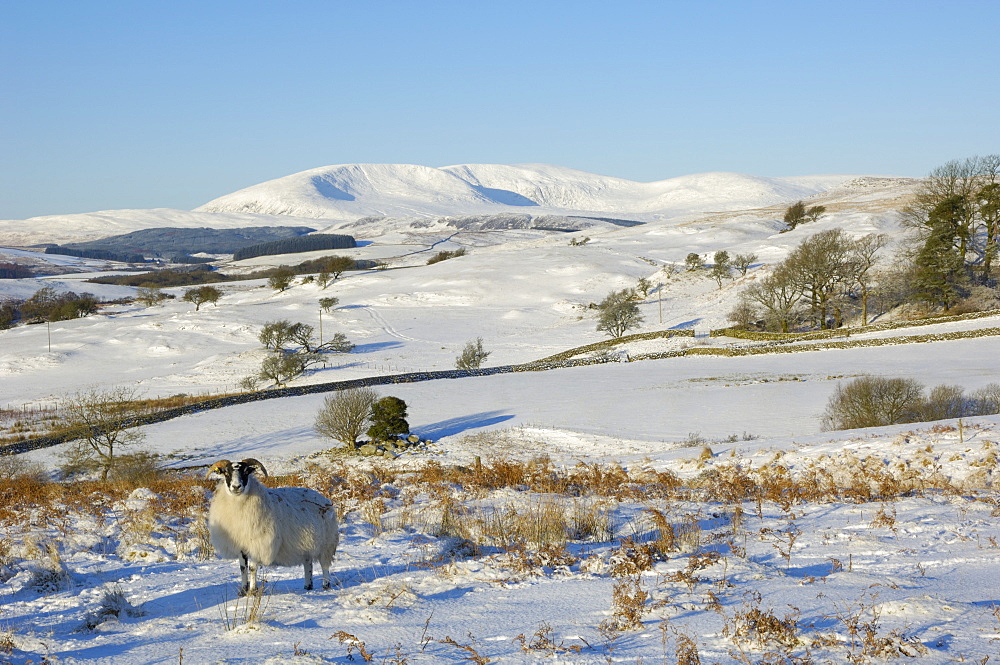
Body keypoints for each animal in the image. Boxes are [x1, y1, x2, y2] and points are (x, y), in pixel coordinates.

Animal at [207, 460, 340, 592]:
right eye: (226, 473)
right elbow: (243, 568)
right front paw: (244, 590)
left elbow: (252, 568)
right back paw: (308, 586)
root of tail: (324, 499)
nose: (236, 487)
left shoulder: (258, 543)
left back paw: (326, 585)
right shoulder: (241, 545)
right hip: (307, 543)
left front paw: (253, 590)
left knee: (325, 565)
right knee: (308, 563)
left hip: (327, 544)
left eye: (245, 472)